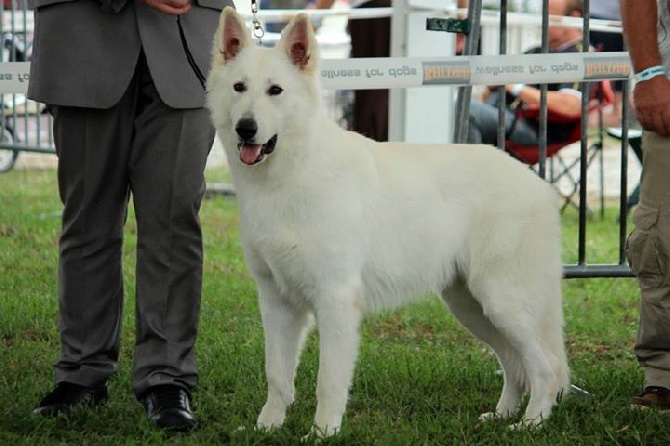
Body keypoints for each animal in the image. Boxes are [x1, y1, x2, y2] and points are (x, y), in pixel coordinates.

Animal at [209, 7, 572, 440]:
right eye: (239, 87)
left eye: (275, 91)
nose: (245, 128)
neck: (292, 174)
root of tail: (541, 185)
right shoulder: (276, 302)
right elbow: (277, 375)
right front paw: (266, 427)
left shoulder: (336, 300)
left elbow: (328, 380)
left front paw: (323, 433)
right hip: (472, 307)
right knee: (514, 364)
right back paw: (502, 416)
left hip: (503, 301)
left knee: (546, 367)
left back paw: (531, 423)